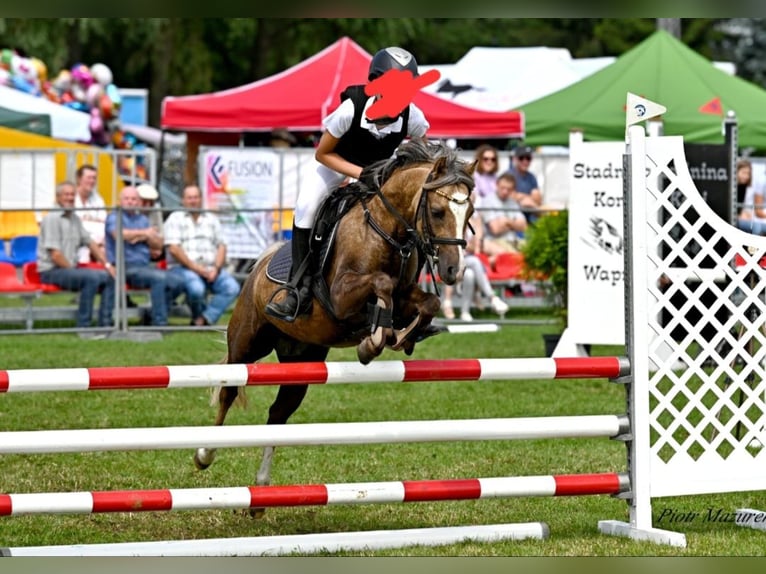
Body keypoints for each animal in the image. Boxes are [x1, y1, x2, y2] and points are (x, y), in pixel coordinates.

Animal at [195, 141, 476, 512]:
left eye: (469, 213)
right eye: (439, 211)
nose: (453, 271)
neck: (388, 230)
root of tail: (258, 266)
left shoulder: (406, 296)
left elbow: (424, 302)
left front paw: (400, 336)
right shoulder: (341, 297)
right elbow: (382, 284)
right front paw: (373, 340)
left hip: (302, 360)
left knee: (279, 413)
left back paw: (260, 493)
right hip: (247, 343)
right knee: (229, 389)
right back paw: (204, 454)